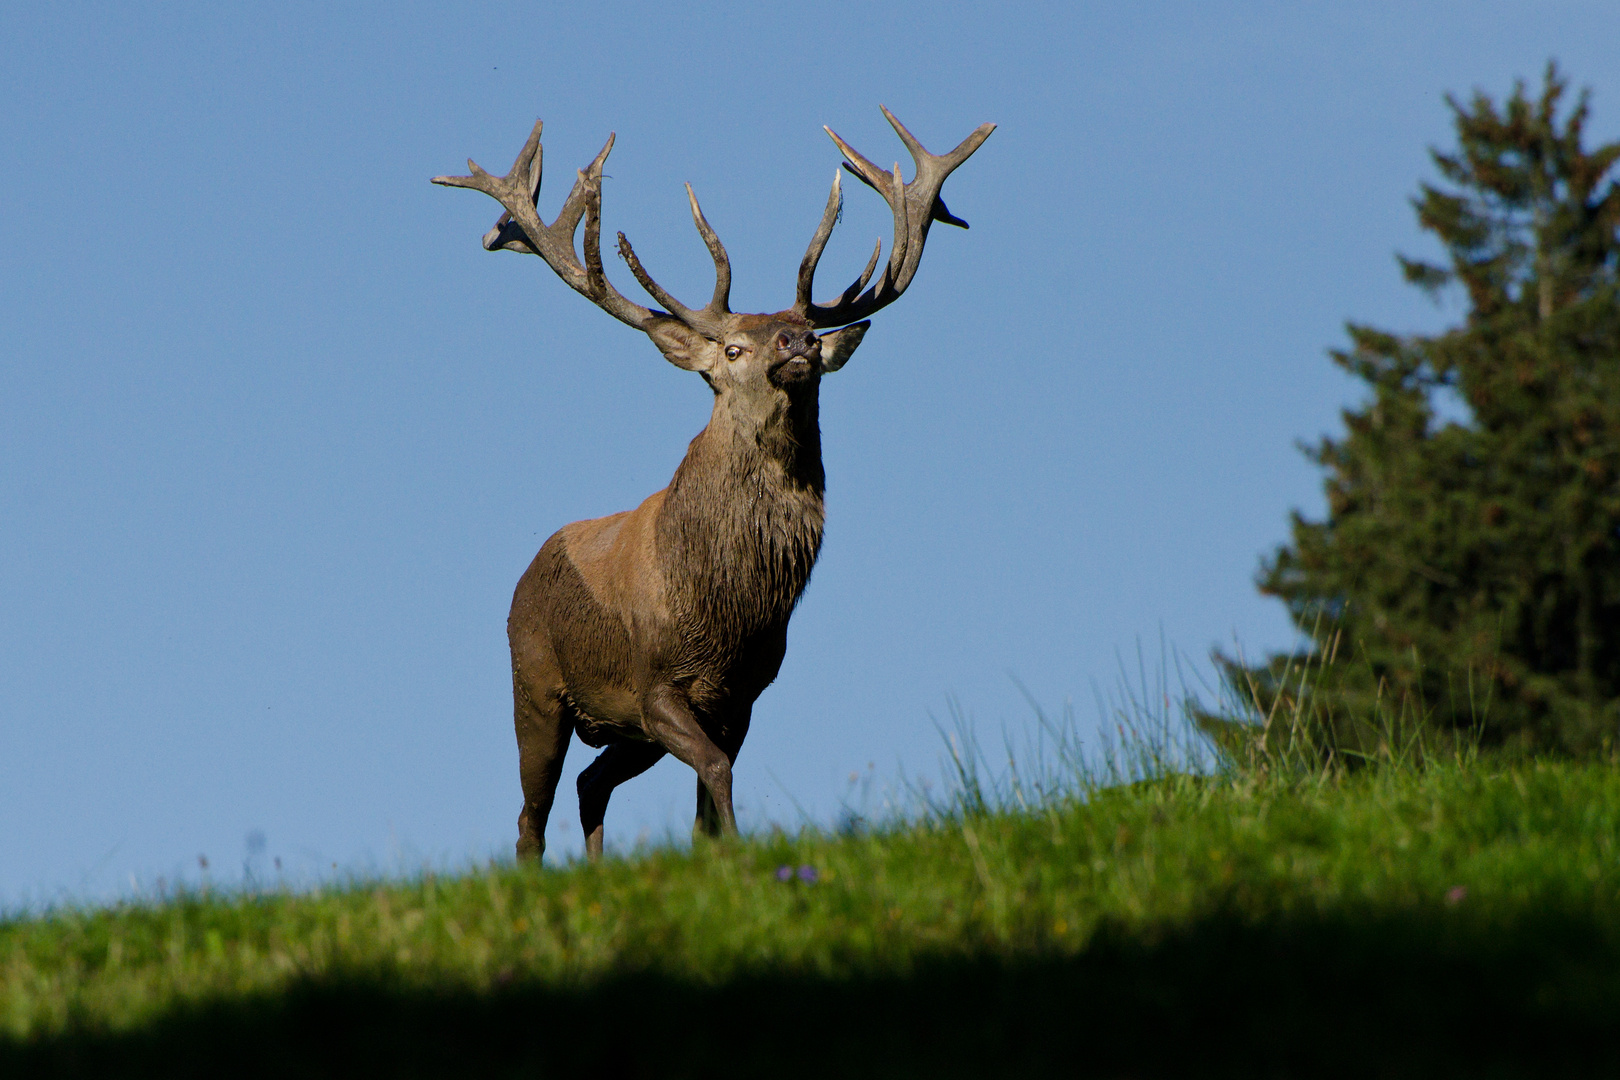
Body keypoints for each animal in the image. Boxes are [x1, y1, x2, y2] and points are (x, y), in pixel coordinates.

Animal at [434, 110, 984, 867]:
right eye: (732, 349)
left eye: (810, 331)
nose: (797, 343)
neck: (725, 612)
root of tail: (523, 578)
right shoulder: (653, 686)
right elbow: (718, 773)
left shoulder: (740, 696)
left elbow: (706, 800)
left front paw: (717, 860)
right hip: (536, 686)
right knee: (529, 816)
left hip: (622, 733)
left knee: (589, 782)